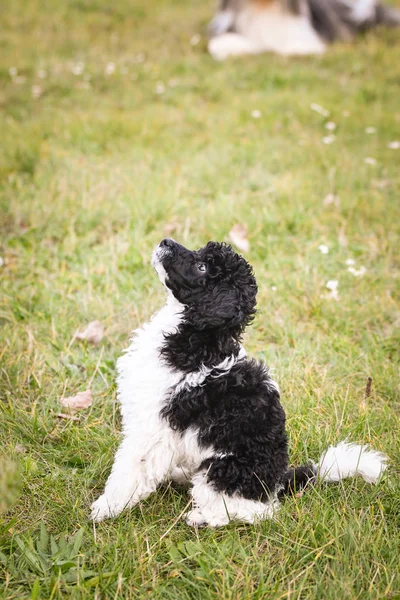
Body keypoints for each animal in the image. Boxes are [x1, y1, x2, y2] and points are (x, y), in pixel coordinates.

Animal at [91, 239, 388, 524]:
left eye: (202, 268)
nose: (165, 241)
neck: (197, 337)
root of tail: (277, 483)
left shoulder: (152, 429)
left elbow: (130, 470)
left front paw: (106, 508)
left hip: (222, 471)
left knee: (253, 511)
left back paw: (202, 518)